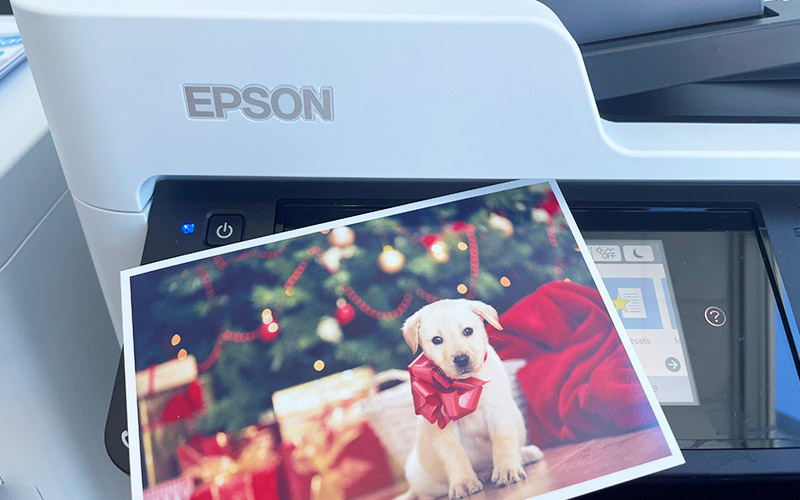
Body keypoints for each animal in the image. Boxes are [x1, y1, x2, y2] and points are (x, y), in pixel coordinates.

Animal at [398, 298, 544, 498]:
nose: (461, 360)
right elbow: (455, 455)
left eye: (468, 331)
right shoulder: (444, 427)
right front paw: (463, 482)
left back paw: (524, 455)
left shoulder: (498, 411)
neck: (465, 385)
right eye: (437, 340)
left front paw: (506, 469)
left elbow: (503, 441)